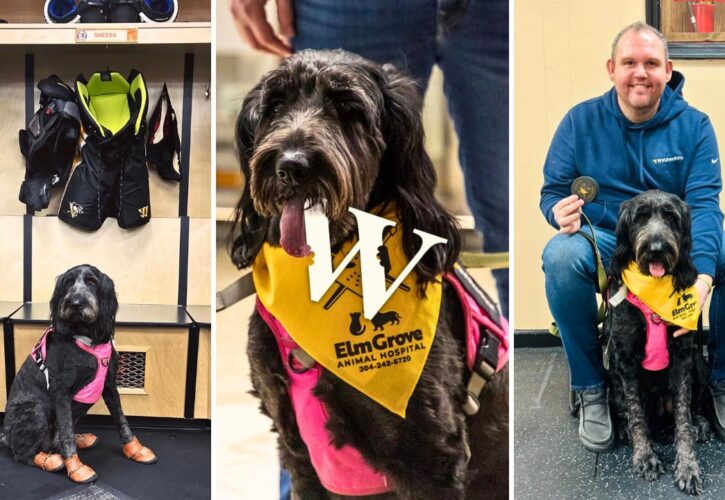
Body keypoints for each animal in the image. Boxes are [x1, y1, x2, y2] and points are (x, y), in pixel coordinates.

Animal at [0, 266, 156, 484]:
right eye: (68, 282)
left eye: (91, 281)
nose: (75, 303)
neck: (87, 336)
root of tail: (6, 436)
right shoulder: (62, 393)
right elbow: (65, 431)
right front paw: (76, 467)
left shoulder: (109, 386)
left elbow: (121, 419)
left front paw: (135, 449)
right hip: (37, 410)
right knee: (23, 454)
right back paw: (50, 460)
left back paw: (80, 439)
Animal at [604, 191, 708, 496]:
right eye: (640, 217)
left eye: (671, 217)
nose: (657, 248)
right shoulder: (624, 359)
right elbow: (636, 413)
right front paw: (645, 457)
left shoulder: (684, 355)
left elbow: (683, 415)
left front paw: (687, 466)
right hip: (613, 378)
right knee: (629, 412)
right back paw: (626, 431)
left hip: (700, 364)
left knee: (693, 407)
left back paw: (700, 424)